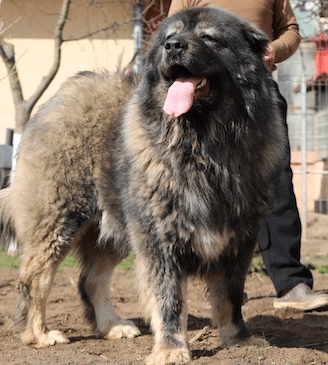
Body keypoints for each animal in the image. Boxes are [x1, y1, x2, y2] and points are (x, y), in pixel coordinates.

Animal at [0, 6, 284, 364]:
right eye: (168, 37)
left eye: (208, 37)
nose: (173, 47)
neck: (204, 146)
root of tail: (61, 95)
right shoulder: (159, 238)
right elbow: (169, 299)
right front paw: (171, 348)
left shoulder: (238, 237)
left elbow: (230, 296)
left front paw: (240, 340)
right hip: (59, 218)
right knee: (35, 277)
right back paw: (40, 334)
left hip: (114, 225)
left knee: (90, 279)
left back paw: (112, 326)